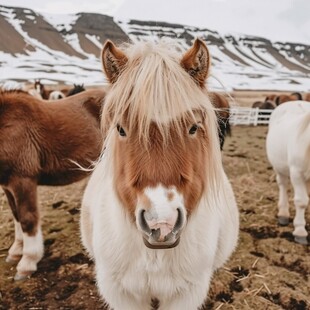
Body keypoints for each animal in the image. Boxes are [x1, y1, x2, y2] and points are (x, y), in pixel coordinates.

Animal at [0, 88, 105, 280]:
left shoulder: (23, 180)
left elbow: (27, 219)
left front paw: (27, 262)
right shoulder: (7, 185)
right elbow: (16, 216)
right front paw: (15, 251)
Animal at [264, 101, 310, 245]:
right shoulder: (297, 173)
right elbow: (301, 201)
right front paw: (300, 231)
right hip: (279, 168)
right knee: (283, 184)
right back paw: (283, 213)